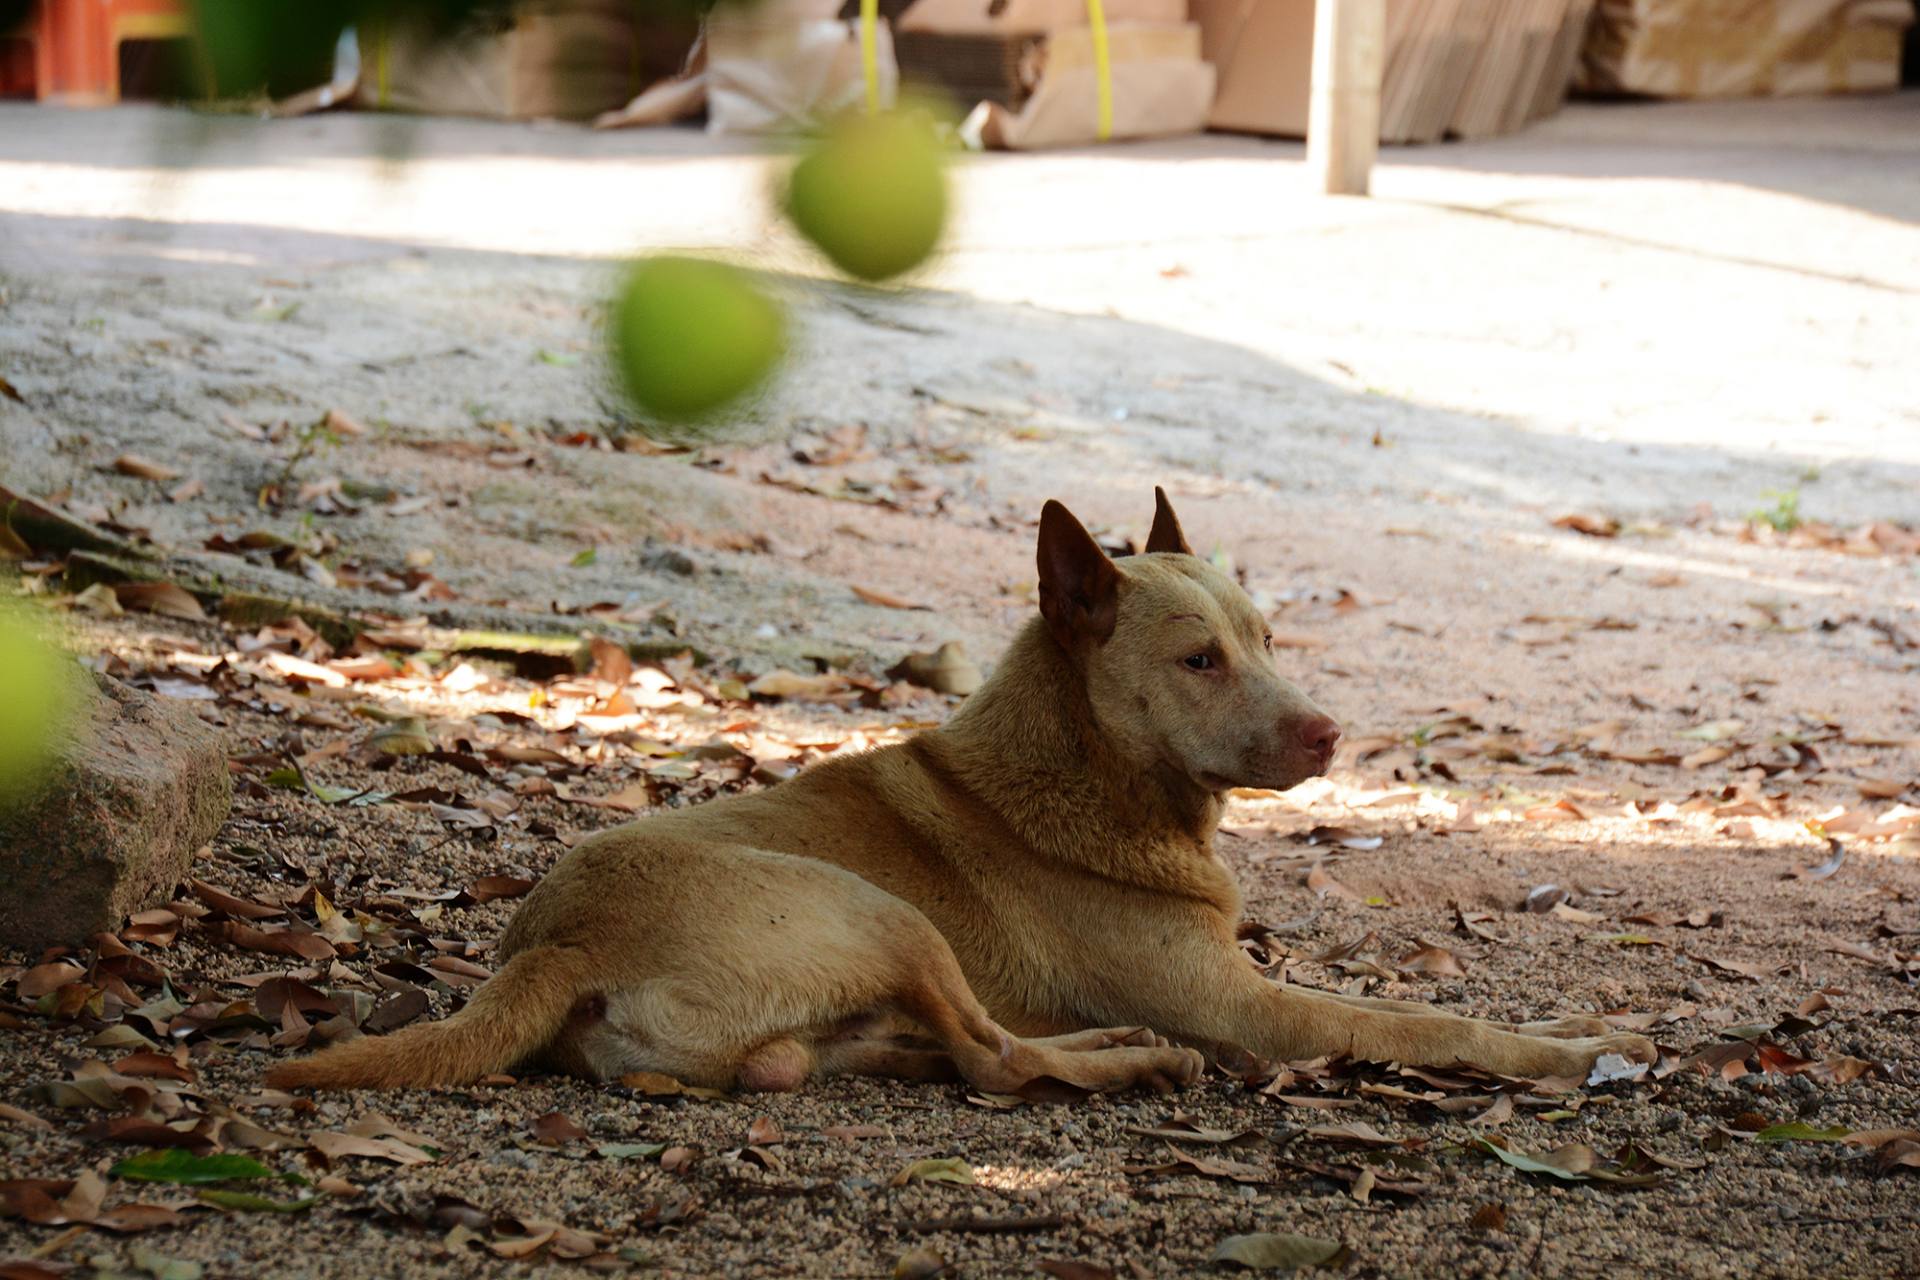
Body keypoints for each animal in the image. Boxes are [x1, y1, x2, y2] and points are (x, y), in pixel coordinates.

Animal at [266, 487, 1651, 1090]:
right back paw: (1129, 1060)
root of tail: (554, 943)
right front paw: (1569, 1048)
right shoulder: (1255, 1009)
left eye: (1269, 637)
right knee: (990, 1061)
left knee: (953, 1047)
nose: (1330, 734)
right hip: (876, 909)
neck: (1087, 775)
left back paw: (1106, 1047)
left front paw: (1591, 1024)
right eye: (1199, 659)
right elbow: (1420, 1020)